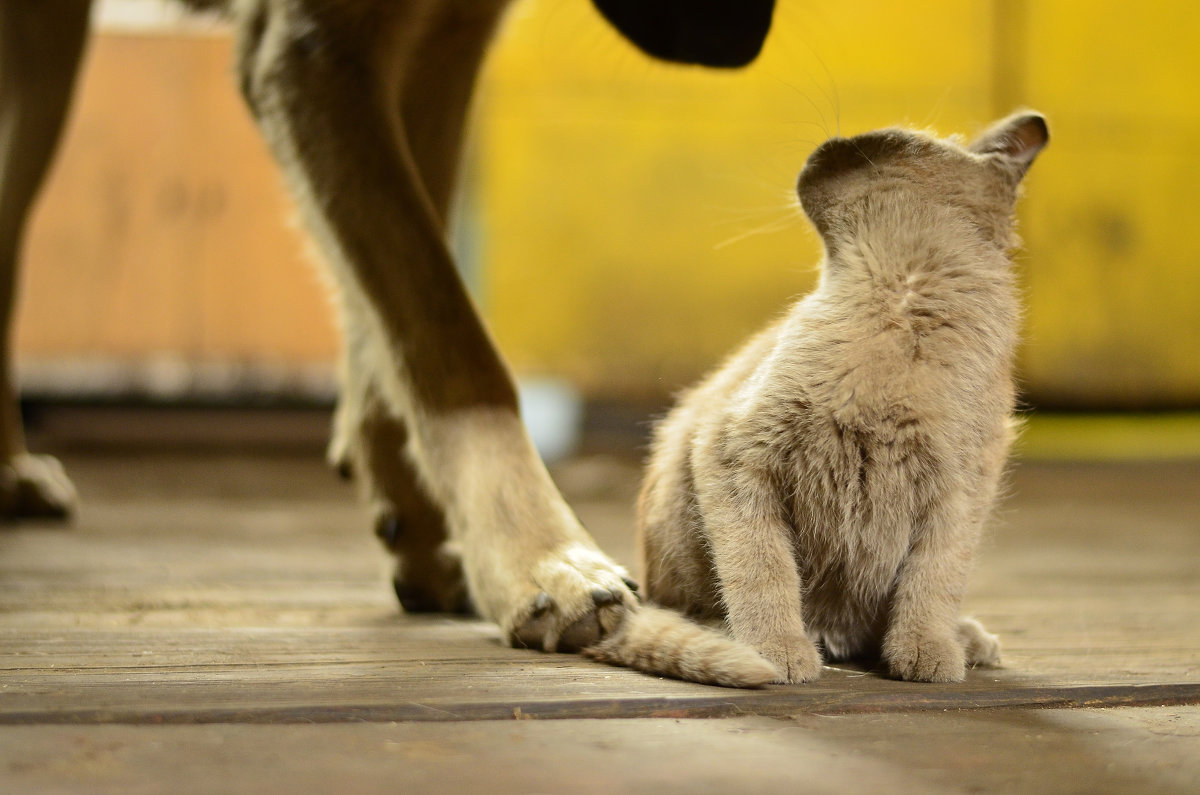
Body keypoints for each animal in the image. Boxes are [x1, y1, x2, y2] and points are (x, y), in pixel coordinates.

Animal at [0, 1, 777, 653]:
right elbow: (442, 327)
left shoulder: (442, 40)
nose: (737, 48)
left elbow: (393, 300)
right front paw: (539, 556)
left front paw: (419, 513)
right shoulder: (312, 50)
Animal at [590, 110, 1051, 686]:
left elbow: (932, 583)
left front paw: (925, 651)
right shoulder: (735, 458)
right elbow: (763, 571)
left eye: (880, 143)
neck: (901, 313)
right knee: (693, 606)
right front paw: (776, 652)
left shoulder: (960, 497)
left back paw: (964, 640)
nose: (822, 148)